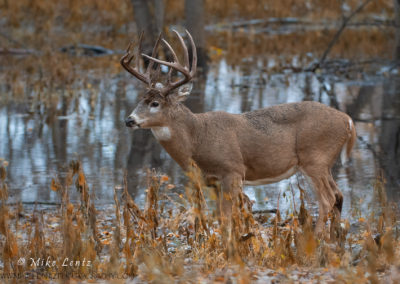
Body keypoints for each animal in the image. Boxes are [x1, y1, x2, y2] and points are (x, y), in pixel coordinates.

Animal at [121, 30, 356, 235]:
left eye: (155, 103)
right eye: (140, 99)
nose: (129, 120)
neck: (197, 137)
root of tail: (347, 119)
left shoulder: (232, 170)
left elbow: (228, 218)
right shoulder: (211, 181)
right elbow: (227, 215)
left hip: (314, 158)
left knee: (327, 199)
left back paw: (317, 239)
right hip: (324, 163)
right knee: (339, 195)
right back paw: (335, 238)